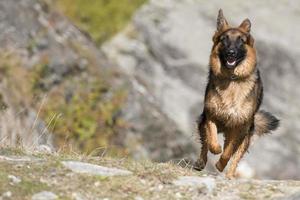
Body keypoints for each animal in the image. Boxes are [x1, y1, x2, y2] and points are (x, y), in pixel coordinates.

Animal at [195, 9, 278, 178]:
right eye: (224, 39)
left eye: (241, 41)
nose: (231, 53)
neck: (232, 79)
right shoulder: (211, 116)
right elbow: (211, 141)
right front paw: (216, 149)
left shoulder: (240, 128)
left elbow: (228, 153)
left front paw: (220, 165)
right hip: (204, 122)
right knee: (205, 143)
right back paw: (201, 162)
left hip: (245, 136)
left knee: (235, 157)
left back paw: (229, 175)